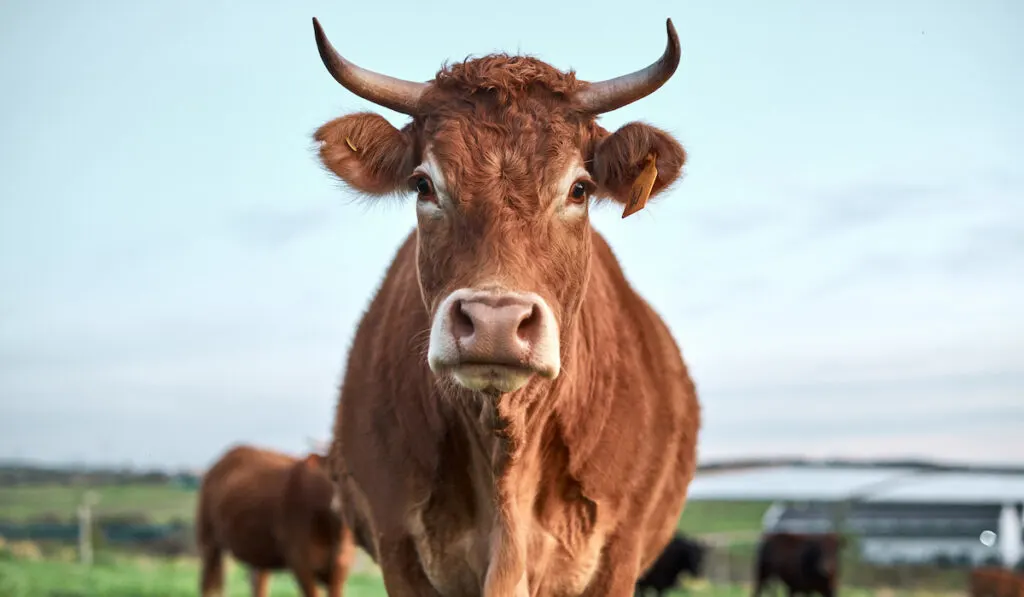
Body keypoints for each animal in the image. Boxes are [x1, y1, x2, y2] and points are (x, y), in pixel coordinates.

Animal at [195, 446, 356, 597]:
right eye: (333, 474)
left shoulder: (340, 568)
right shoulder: (300, 561)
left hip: (258, 551)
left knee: (257, 584)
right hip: (208, 541)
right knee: (207, 584)